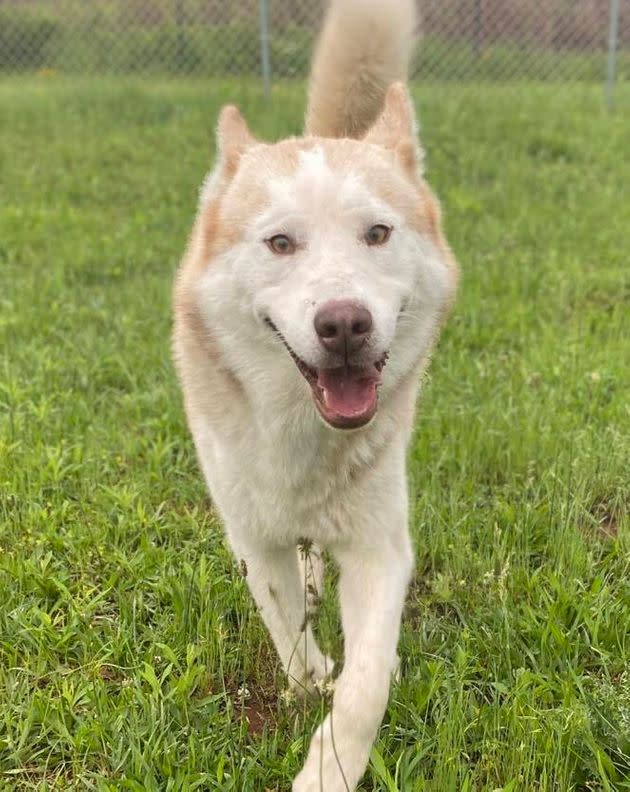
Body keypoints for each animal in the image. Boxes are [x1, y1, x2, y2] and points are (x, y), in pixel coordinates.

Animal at [173, 0, 460, 788]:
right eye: (280, 244)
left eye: (377, 233)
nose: (344, 324)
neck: (306, 432)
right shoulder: (252, 533)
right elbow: (284, 623)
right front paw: (308, 683)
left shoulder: (380, 545)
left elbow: (365, 687)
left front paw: (331, 765)